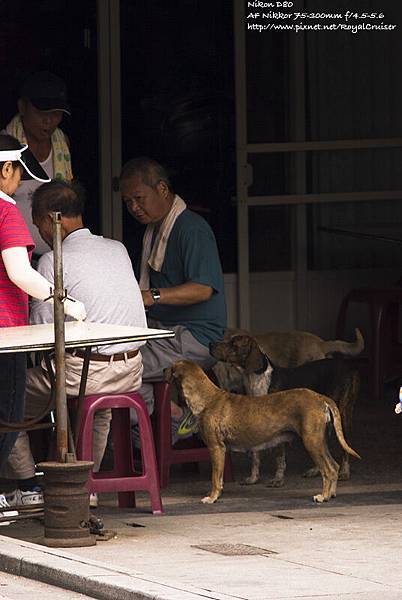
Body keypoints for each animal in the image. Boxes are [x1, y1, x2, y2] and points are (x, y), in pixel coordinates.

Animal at [164, 360, 362, 506]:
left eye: (171, 367)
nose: (163, 369)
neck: (207, 399)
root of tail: (320, 397)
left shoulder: (216, 448)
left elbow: (215, 478)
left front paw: (212, 498)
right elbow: (219, 480)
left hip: (312, 441)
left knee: (328, 469)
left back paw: (323, 496)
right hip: (320, 442)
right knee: (334, 467)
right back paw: (332, 494)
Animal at [209, 336, 360, 486]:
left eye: (233, 344)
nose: (210, 344)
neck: (257, 380)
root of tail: (346, 365)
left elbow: (279, 457)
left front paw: (278, 479)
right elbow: (255, 455)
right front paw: (253, 478)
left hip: (343, 414)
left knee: (346, 445)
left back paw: (344, 472)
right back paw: (315, 470)